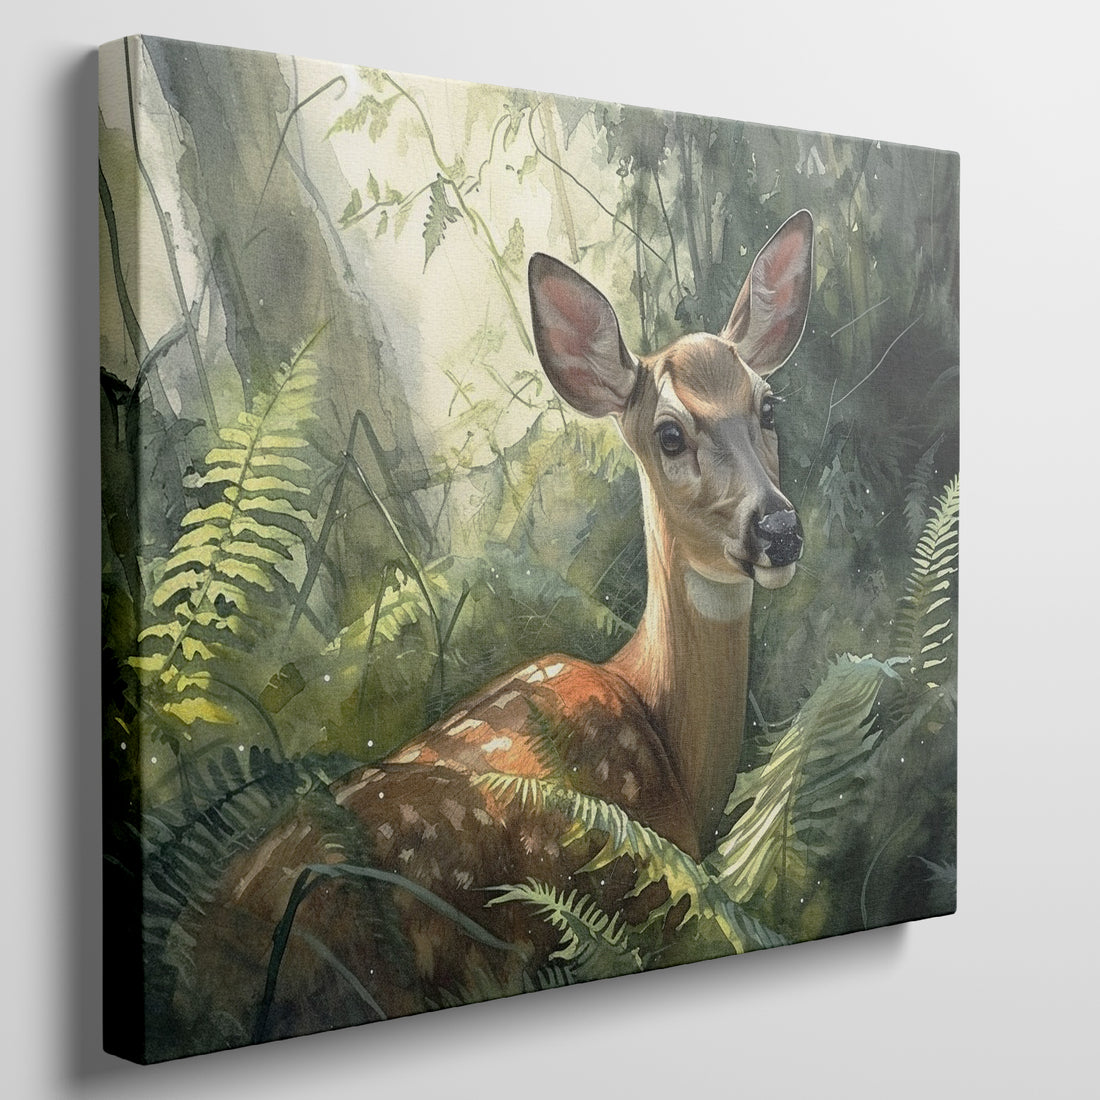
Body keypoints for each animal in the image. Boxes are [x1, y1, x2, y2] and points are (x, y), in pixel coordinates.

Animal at [170, 210, 814, 1056]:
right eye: (670, 434)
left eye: (768, 408)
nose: (777, 529)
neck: (657, 720)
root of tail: (207, 964)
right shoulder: (647, 906)